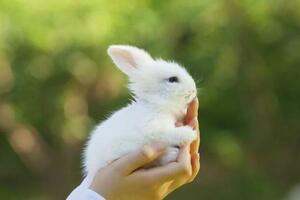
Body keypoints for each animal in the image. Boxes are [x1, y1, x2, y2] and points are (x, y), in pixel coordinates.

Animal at [83, 45, 198, 178]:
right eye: (172, 79)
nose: (193, 90)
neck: (155, 105)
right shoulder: (153, 129)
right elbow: (169, 134)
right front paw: (189, 133)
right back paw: (172, 153)